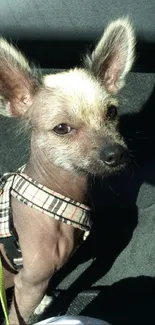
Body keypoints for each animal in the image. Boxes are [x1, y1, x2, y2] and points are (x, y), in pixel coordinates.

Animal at [0, 18, 135, 324]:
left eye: (111, 112)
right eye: (61, 128)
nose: (116, 153)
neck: (55, 194)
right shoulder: (30, 283)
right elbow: (16, 316)